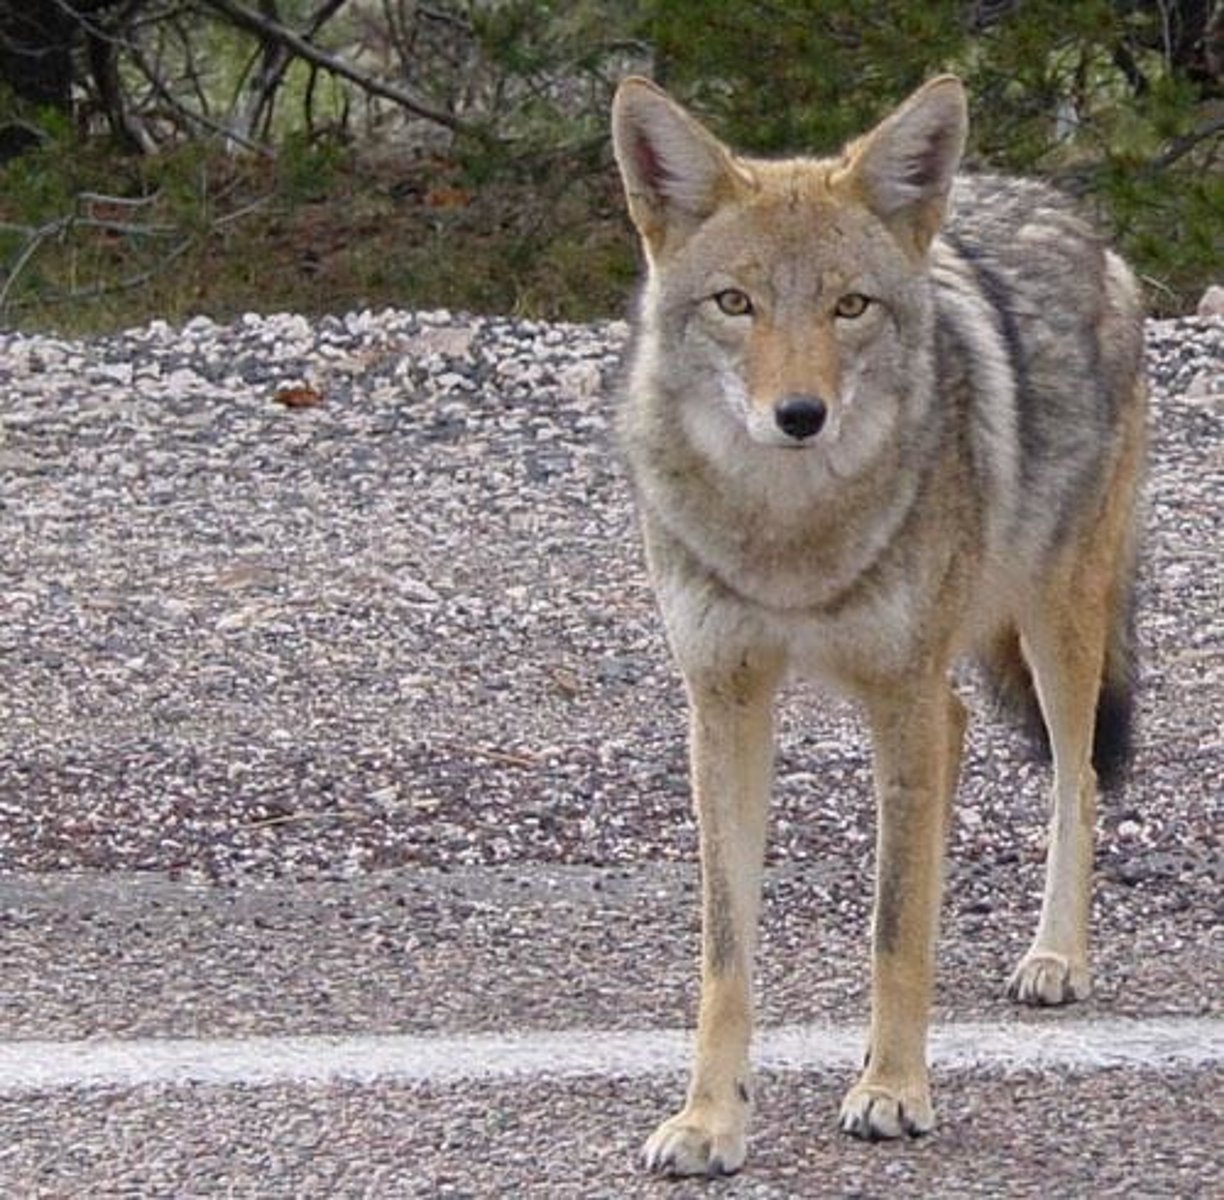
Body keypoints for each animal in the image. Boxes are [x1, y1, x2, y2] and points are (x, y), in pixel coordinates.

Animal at [610, 75, 1147, 1176]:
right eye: (736, 304)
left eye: (849, 305)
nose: (799, 414)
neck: (792, 536)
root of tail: (1068, 213)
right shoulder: (724, 705)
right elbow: (727, 952)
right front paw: (711, 1120)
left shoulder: (901, 693)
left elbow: (896, 929)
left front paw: (895, 1090)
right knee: (971, 748)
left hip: (1055, 623)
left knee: (1075, 780)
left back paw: (1054, 958)